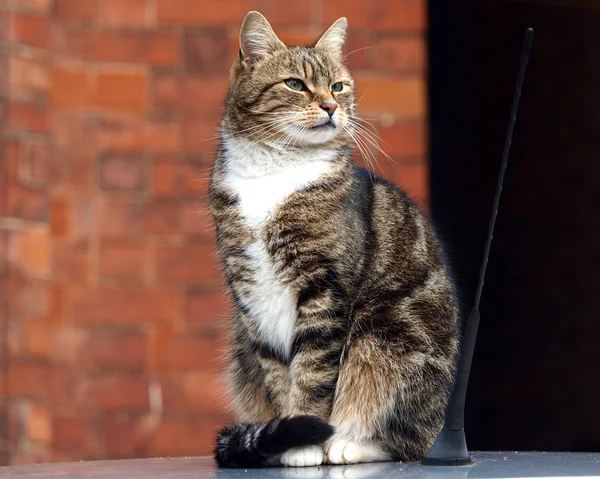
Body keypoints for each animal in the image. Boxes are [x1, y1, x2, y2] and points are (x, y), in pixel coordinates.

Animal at [209, 10, 458, 468]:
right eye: (295, 84)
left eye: (338, 86)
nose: (331, 106)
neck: (276, 169)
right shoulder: (251, 295)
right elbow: (278, 376)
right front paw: (287, 436)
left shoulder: (324, 289)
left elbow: (312, 373)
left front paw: (305, 440)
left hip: (383, 334)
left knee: (405, 436)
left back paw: (350, 443)